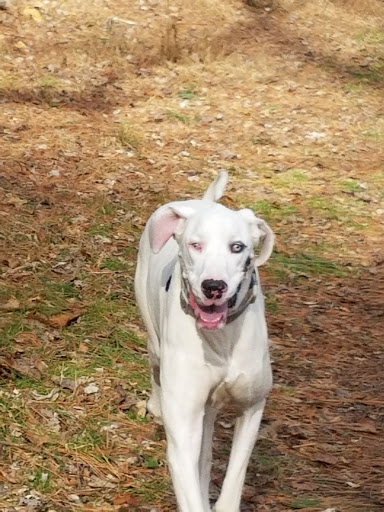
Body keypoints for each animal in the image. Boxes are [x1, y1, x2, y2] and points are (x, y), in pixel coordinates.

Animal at [135, 173, 272, 512]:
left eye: (238, 247)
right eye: (195, 245)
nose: (213, 285)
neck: (221, 340)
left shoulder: (252, 407)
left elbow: (235, 475)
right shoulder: (184, 427)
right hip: (155, 341)